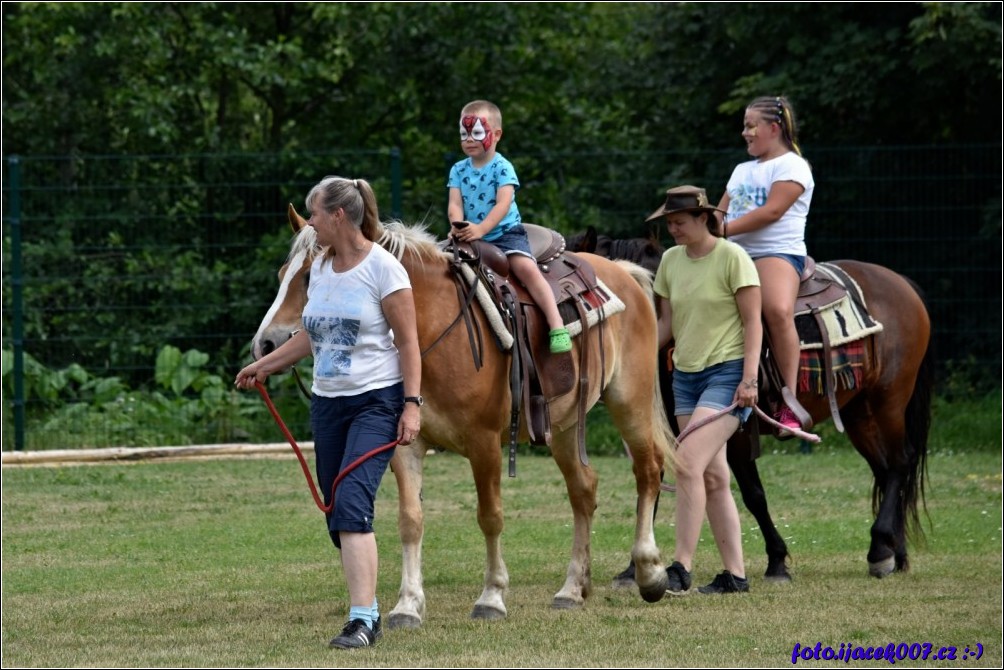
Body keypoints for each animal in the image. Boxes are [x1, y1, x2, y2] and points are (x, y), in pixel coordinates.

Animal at [249, 205, 674, 630]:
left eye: (309, 276)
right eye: (283, 274)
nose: (264, 344)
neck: (432, 327)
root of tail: (624, 273)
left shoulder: (484, 443)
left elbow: (490, 517)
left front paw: (492, 597)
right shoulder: (406, 445)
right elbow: (410, 520)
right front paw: (407, 604)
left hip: (629, 402)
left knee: (648, 470)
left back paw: (649, 572)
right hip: (566, 425)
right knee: (584, 490)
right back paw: (572, 589)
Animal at [578, 231, 935, 582]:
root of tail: (901, 283)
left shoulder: (735, 432)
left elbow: (753, 495)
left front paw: (776, 561)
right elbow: (650, 485)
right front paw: (634, 569)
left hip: (889, 401)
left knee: (900, 463)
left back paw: (879, 548)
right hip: (859, 412)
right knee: (885, 471)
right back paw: (894, 553)